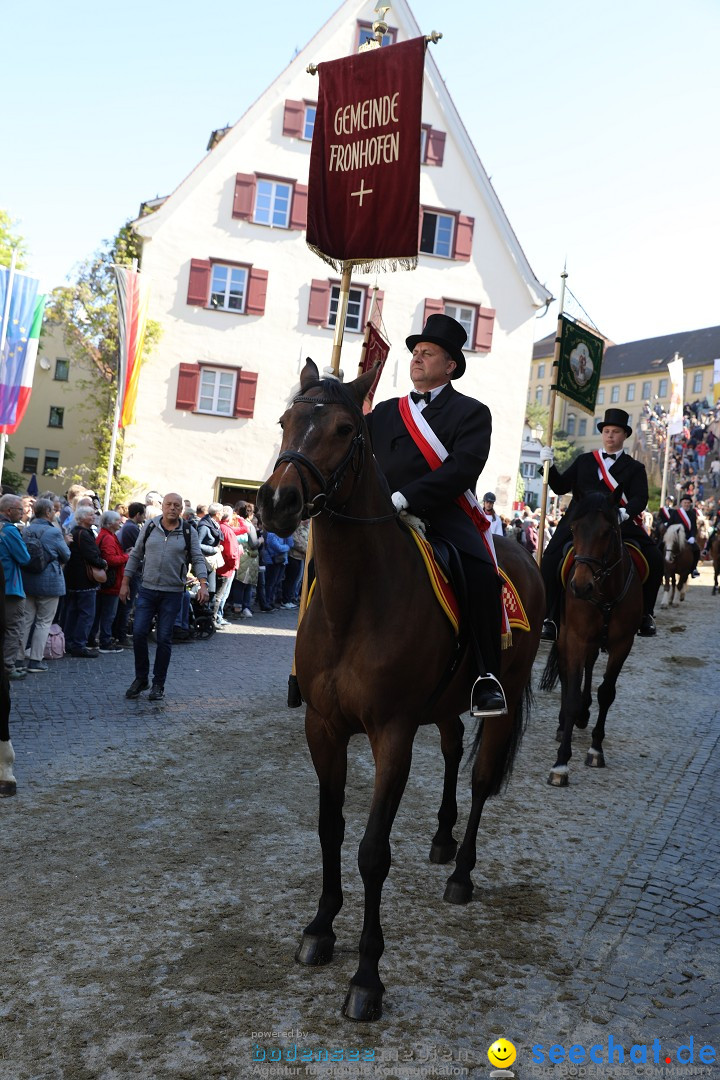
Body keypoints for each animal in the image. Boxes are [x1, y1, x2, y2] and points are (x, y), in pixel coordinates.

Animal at [255, 360, 544, 1019]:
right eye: (284, 420)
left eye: (343, 428)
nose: (276, 502)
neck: (355, 601)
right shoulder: (324, 729)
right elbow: (330, 829)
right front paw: (320, 928)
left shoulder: (392, 735)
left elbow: (372, 850)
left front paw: (367, 976)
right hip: (442, 707)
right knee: (453, 746)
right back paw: (441, 838)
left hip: (501, 697)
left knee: (480, 778)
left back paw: (460, 873)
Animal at [539, 490, 643, 786]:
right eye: (574, 528)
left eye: (608, 531)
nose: (580, 586)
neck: (605, 592)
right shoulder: (575, 639)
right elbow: (572, 694)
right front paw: (561, 764)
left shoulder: (623, 644)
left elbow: (606, 692)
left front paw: (596, 750)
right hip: (565, 637)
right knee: (567, 676)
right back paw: (564, 723)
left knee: (589, 666)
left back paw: (584, 715)